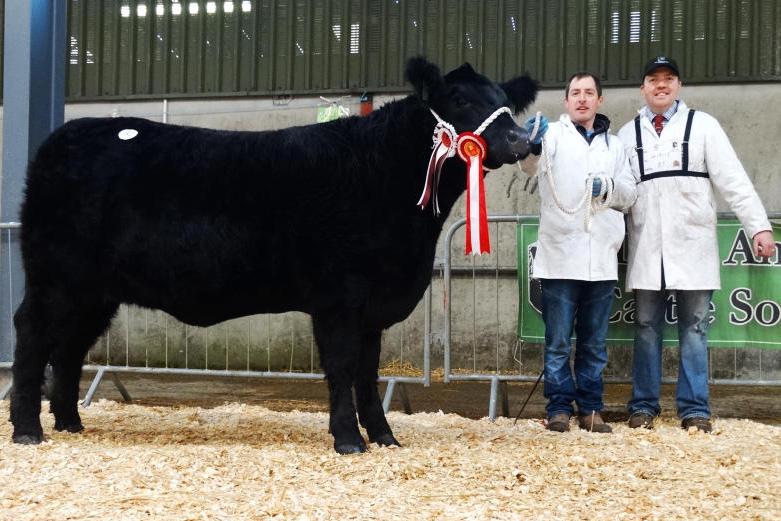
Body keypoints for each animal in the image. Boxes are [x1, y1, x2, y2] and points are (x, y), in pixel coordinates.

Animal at [10, 57, 538, 453]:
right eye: (462, 99)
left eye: (506, 103)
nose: (520, 139)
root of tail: (62, 138)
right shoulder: (338, 301)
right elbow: (342, 369)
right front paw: (348, 440)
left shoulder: (373, 308)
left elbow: (368, 375)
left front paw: (385, 438)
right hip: (55, 278)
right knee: (33, 335)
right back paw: (27, 430)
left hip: (93, 293)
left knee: (70, 348)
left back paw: (70, 423)